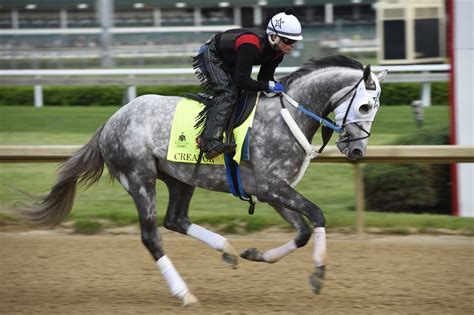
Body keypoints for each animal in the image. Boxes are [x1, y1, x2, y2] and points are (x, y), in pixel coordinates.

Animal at [12, 56, 386, 306]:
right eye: (366, 106)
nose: (357, 150)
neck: (288, 116)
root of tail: (112, 120)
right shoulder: (272, 187)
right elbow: (318, 216)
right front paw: (319, 275)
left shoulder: (272, 191)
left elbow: (303, 231)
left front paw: (255, 254)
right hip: (139, 177)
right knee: (152, 236)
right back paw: (185, 293)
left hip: (180, 179)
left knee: (176, 219)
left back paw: (228, 251)